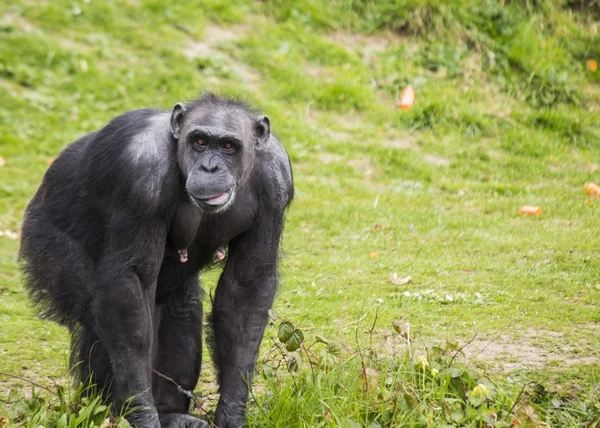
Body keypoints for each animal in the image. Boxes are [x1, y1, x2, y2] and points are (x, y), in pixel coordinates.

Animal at [20, 93, 296, 428]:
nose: (210, 166)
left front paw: (232, 411)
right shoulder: (141, 175)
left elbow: (247, 285)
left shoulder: (277, 182)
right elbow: (132, 284)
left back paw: (170, 413)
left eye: (229, 145)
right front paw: (141, 413)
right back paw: (113, 411)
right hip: (46, 243)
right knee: (105, 315)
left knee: (182, 310)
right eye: (200, 141)